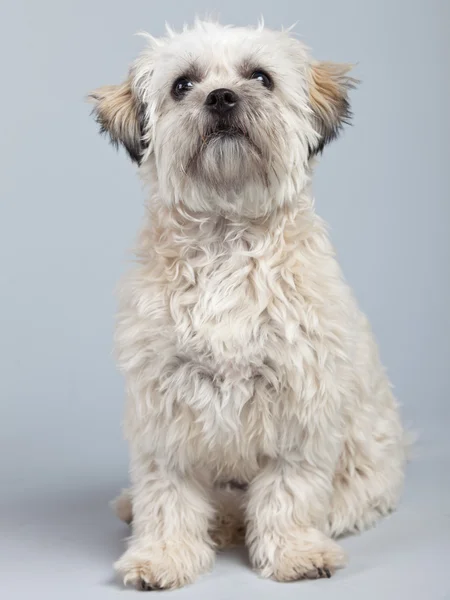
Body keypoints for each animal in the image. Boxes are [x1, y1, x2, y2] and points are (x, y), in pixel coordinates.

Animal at [89, 18, 408, 592]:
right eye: (182, 85)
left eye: (260, 76)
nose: (220, 97)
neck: (226, 238)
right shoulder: (165, 406)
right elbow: (167, 493)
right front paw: (164, 555)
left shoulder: (299, 404)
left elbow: (289, 491)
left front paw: (294, 553)